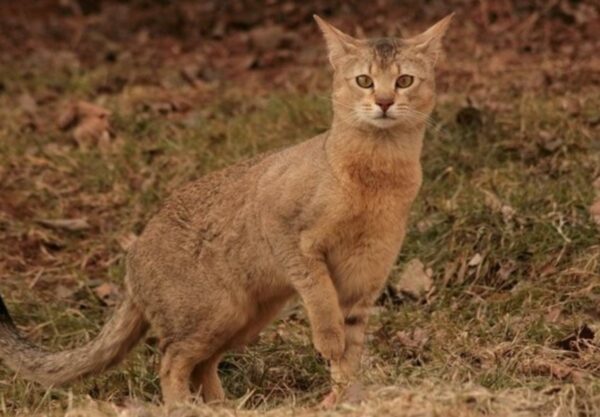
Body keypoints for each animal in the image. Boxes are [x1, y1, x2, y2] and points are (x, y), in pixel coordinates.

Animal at [0, 13, 450, 406]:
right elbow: (320, 297)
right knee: (171, 359)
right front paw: (328, 342)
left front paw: (341, 399)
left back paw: (224, 407)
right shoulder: (282, 226)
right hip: (215, 313)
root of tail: (131, 262)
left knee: (201, 364)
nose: (385, 102)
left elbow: (350, 355)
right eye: (364, 80)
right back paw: (183, 407)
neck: (375, 179)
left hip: (246, 318)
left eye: (404, 80)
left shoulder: (364, 280)